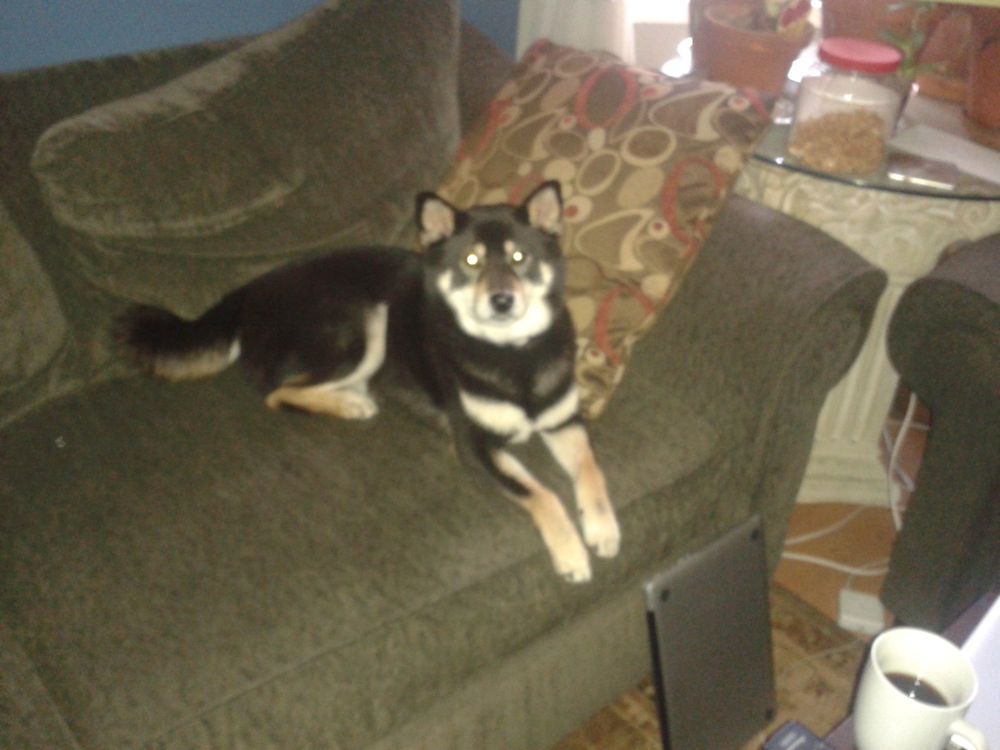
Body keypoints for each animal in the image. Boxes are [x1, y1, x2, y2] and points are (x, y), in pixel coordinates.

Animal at [117, 185, 616, 584]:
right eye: (471, 260)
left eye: (519, 257)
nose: (501, 300)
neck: (511, 352)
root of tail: (250, 292)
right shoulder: (474, 445)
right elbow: (543, 494)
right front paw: (571, 552)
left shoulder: (565, 421)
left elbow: (592, 468)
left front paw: (602, 527)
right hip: (366, 318)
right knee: (278, 393)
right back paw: (351, 404)